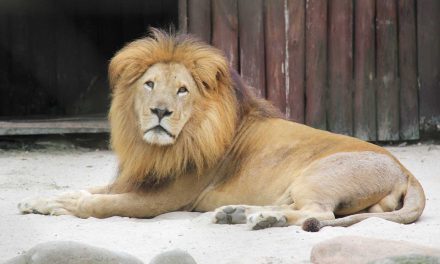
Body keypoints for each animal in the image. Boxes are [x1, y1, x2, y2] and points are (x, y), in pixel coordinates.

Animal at [18, 28, 426, 231]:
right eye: (150, 84)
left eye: (182, 89)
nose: (160, 112)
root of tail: (407, 172)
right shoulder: (139, 179)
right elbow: (86, 190)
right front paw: (38, 200)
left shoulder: (163, 197)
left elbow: (96, 203)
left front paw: (60, 205)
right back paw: (241, 213)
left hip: (316, 175)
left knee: (319, 215)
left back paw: (260, 219)